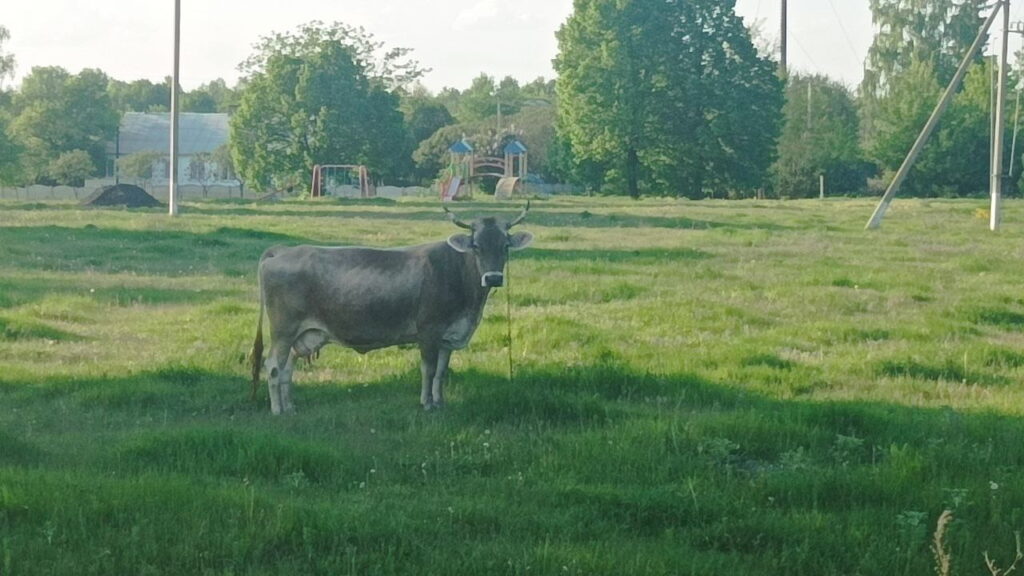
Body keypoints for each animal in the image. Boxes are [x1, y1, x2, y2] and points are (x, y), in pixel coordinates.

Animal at [249, 202, 533, 414]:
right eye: (476, 245)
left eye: (505, 245)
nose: (493, 278)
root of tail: (283, 250)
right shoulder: (428, 331)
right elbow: (428, 370)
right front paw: (427, 404)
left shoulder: (447, 337)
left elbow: (441, 372)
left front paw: (440, 402)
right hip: (283, 331)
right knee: (273, 366)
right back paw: (277, 410)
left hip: (301, 335)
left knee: (287, 368)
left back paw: (290, 407)